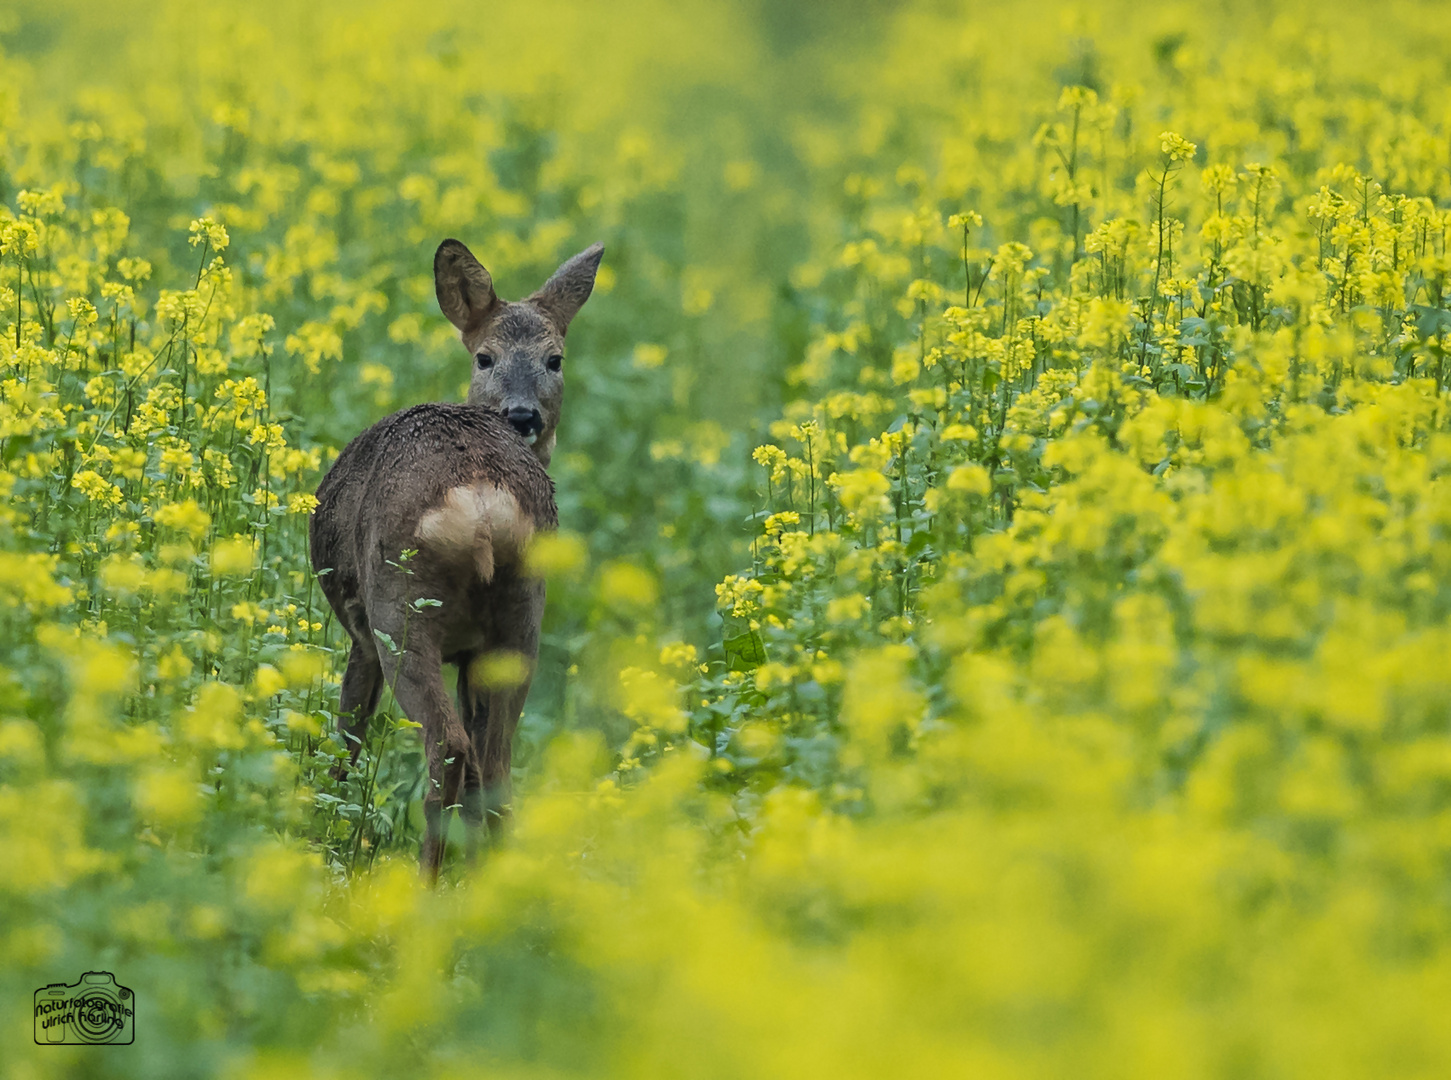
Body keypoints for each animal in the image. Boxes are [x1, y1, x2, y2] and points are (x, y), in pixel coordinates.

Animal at [309, 240, 603, 882]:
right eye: (485, 356)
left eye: (555, 360)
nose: (523, 416)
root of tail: (483, 503)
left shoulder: (361, 631)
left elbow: (349, 731)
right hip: (522, 615)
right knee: (494, 763)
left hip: (400, 608)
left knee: (448, 745)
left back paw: (425, 882)